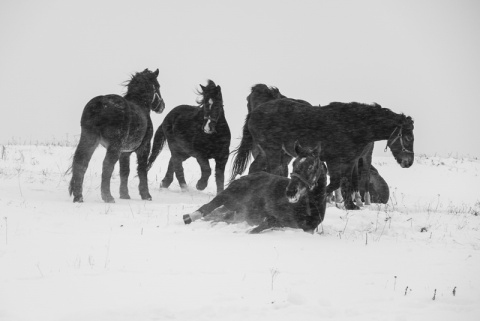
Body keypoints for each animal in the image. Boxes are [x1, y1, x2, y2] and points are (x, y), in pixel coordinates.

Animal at [68, 68, 164, 202]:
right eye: (158, 86)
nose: (162, 106)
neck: (140, 105)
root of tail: (101, 103)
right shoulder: (144, 148)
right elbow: (141, 170)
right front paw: (146, 195)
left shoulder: (124, 153)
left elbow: (124, 172)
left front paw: (124, 195)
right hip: (113, 145)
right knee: (107, 165)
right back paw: (107, 197)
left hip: (89, 139)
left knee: (81, 163)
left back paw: (78, 197)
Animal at [182, 141, 328, 234]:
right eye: (294, 164)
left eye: (310, 167)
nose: (291, 192)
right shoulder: (276, 219)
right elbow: (262, 226)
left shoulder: (308, 229)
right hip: (227, 196)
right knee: (208, 207)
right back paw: (188, 218)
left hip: (232, 209)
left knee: (219, 216)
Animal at [231, 100, 414, 210]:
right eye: (408, 137)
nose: (409, 162)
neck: (354, 125)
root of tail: (254, 112)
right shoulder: (335, 161)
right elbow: (336, 182)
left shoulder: (349, 162)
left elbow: (346, 182)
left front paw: (350, 205)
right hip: (273, 151)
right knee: (272, 171)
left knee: (257, 169)